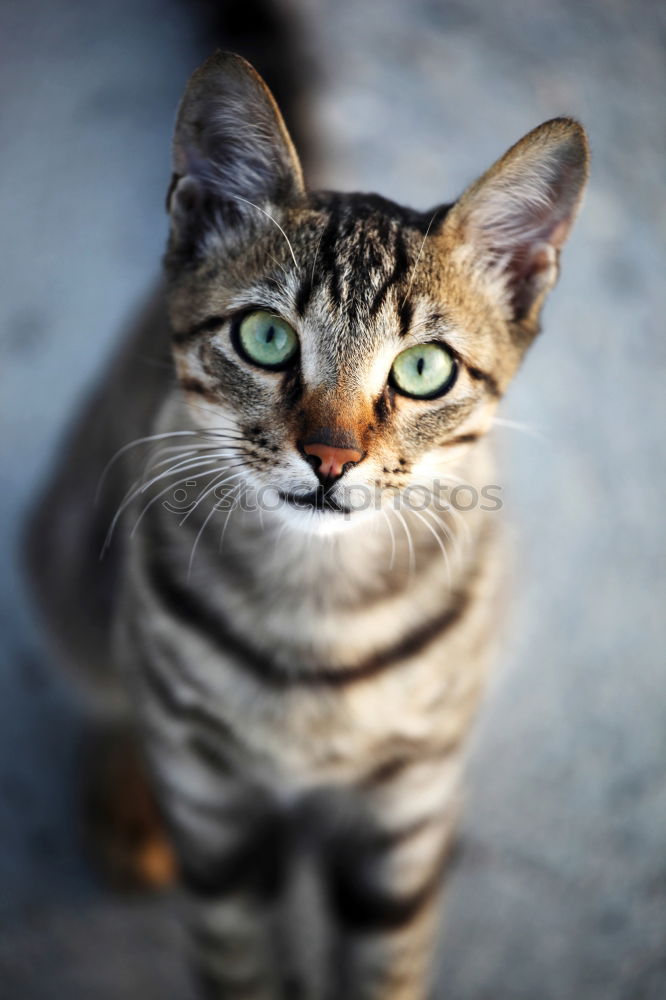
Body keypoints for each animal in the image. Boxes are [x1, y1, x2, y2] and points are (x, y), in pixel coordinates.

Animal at [26, 52, 588, 1000]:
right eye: (265, 337)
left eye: (424, 368)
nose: (330, 456)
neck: (317, 602)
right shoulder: (212, 814)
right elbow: (240, 958)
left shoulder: (402, 813)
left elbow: (386, 961)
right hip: (69, 560)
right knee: (104, 681)